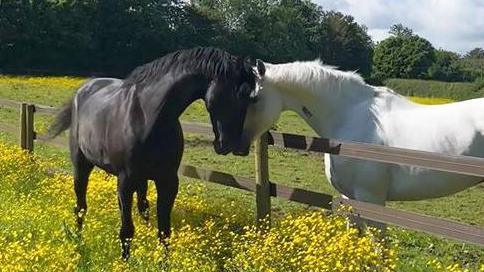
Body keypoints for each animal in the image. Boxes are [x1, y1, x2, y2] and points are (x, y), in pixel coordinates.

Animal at [48, 47, 258, 260]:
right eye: (235, 94)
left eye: (250, 98)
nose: (235, 145)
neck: (148, 116)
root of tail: (84, 89)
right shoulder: (125, 181)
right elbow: (126, 231)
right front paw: (125, 262)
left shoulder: (168, 181)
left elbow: (164, 231)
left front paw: (162, 262)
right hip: (82, 165)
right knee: (80, 207)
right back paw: (78, 241)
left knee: (142, 207)